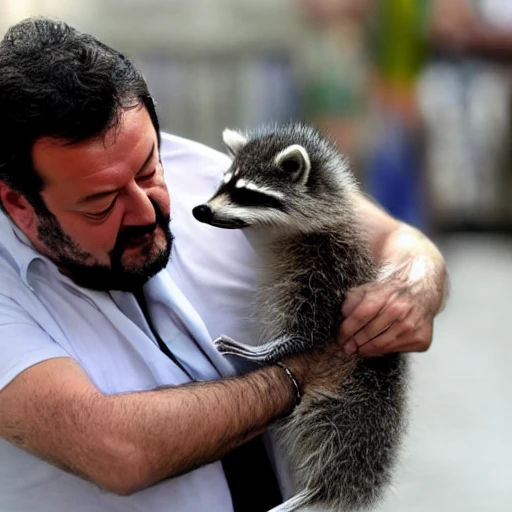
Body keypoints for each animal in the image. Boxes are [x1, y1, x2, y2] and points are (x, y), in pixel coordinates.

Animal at [192, 125, 408, 512]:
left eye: (247, 193)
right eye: (223, 184)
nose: (200, 210)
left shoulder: (329, 271)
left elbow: (315, 330)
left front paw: (273, 348)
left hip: (357, 403)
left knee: (335, 437)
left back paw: (317, 489)